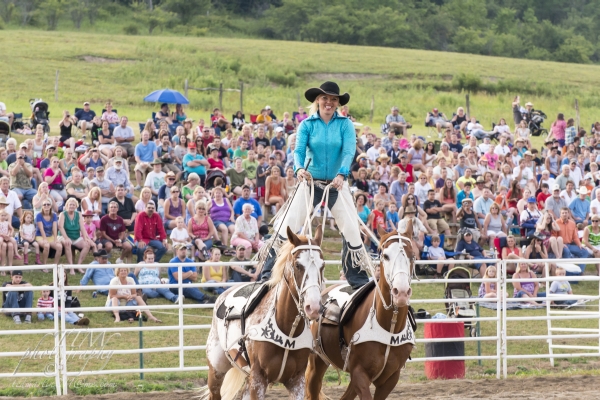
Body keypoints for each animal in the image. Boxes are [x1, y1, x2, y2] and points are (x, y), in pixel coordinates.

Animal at [203, 227, 326, 400]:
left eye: (323, 265)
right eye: (298, 265)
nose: (313, 307)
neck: (287, 329)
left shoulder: (297, 381)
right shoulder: (258, 379)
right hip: (216, 371)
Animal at [308, 225, 414, 400]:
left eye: (412, 255)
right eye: (385, 255)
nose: (401, 292)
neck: (389, 327)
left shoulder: (390, 378)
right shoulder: (359, 374)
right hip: (317, 361)